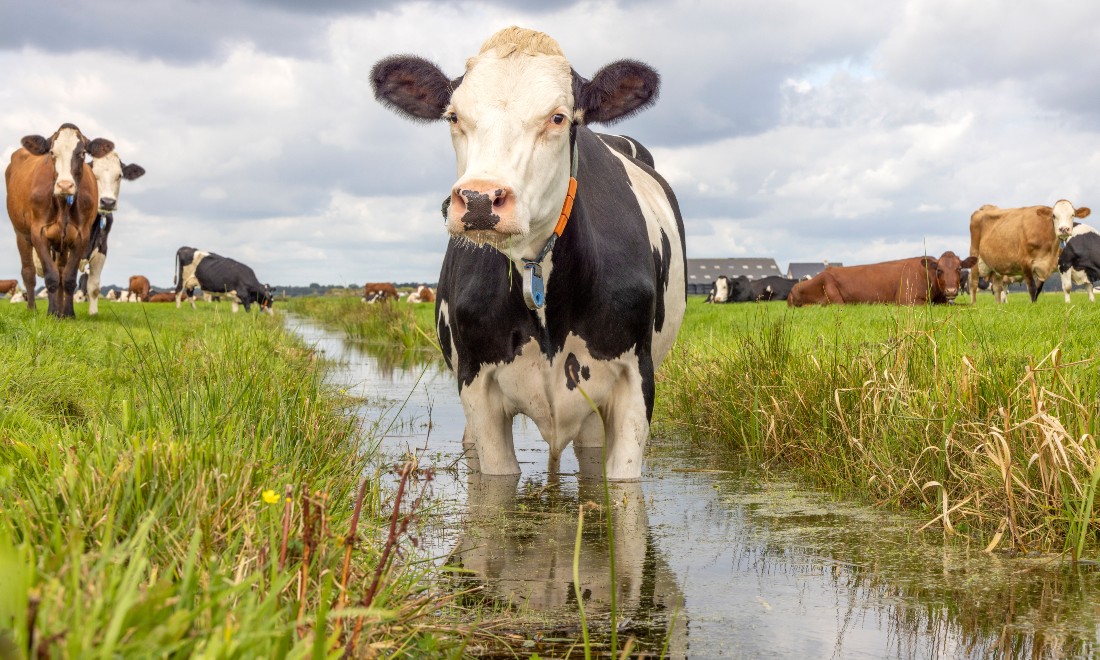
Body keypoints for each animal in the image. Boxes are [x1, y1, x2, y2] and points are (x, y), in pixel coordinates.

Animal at [5, 125, 113, 319]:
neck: (63, 204)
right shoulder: (38, 233)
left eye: (82, 153)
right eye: (52, 153)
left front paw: (68, 313)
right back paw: (32, 309)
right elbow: (51, 276)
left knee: (61, 270)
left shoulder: (81, 235)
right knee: (29, 272)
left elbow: (68, 278)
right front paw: (52, 312)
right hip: (21, 234)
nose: (64, 185)